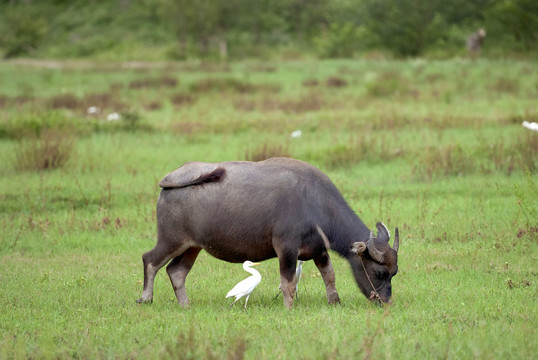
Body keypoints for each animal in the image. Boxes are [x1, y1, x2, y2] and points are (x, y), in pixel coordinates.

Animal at [137, 158, 398, 310]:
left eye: (394, 273)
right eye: (380, 272)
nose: (384, 301)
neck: (315, 205)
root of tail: (170, 180)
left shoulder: (319, 250)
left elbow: (330, 276)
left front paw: (335, 302)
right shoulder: (286, 250)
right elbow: (288, 283)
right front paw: (289, 308)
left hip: (193, 246)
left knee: (176, 271)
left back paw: (185, 305)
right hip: (171, 240)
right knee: (150, 260)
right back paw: (145, 298)